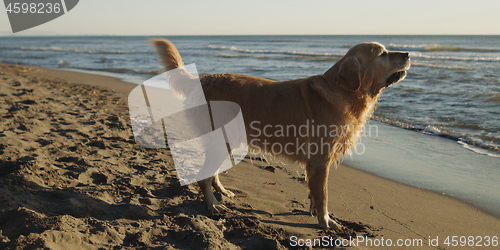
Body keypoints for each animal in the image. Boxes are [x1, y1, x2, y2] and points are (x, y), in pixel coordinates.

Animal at [151, 38, 410, 229]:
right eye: (383, 54)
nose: (408, 54)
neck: (343, 91)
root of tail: (204, 79)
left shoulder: (315, 164)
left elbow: (314, 193)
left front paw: (314, 211)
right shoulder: (320, 160)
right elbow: (324, 195)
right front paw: (326, 221)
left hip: (226, 141)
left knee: (212, 173)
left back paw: (223, 192)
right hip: (221, 140)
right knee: (203, 177)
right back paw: (212, 205)